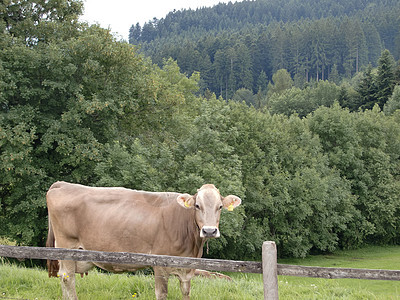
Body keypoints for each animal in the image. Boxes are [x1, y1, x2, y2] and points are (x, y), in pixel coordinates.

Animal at [45, 182, 242, 298]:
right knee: (68, 279)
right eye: (197, 205)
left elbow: (186, 292)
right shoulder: (160, 265)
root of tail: (62, 184)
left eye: (220, 207)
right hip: (67, 246)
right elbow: (162, 294)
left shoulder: (187, 269)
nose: (209, 230)